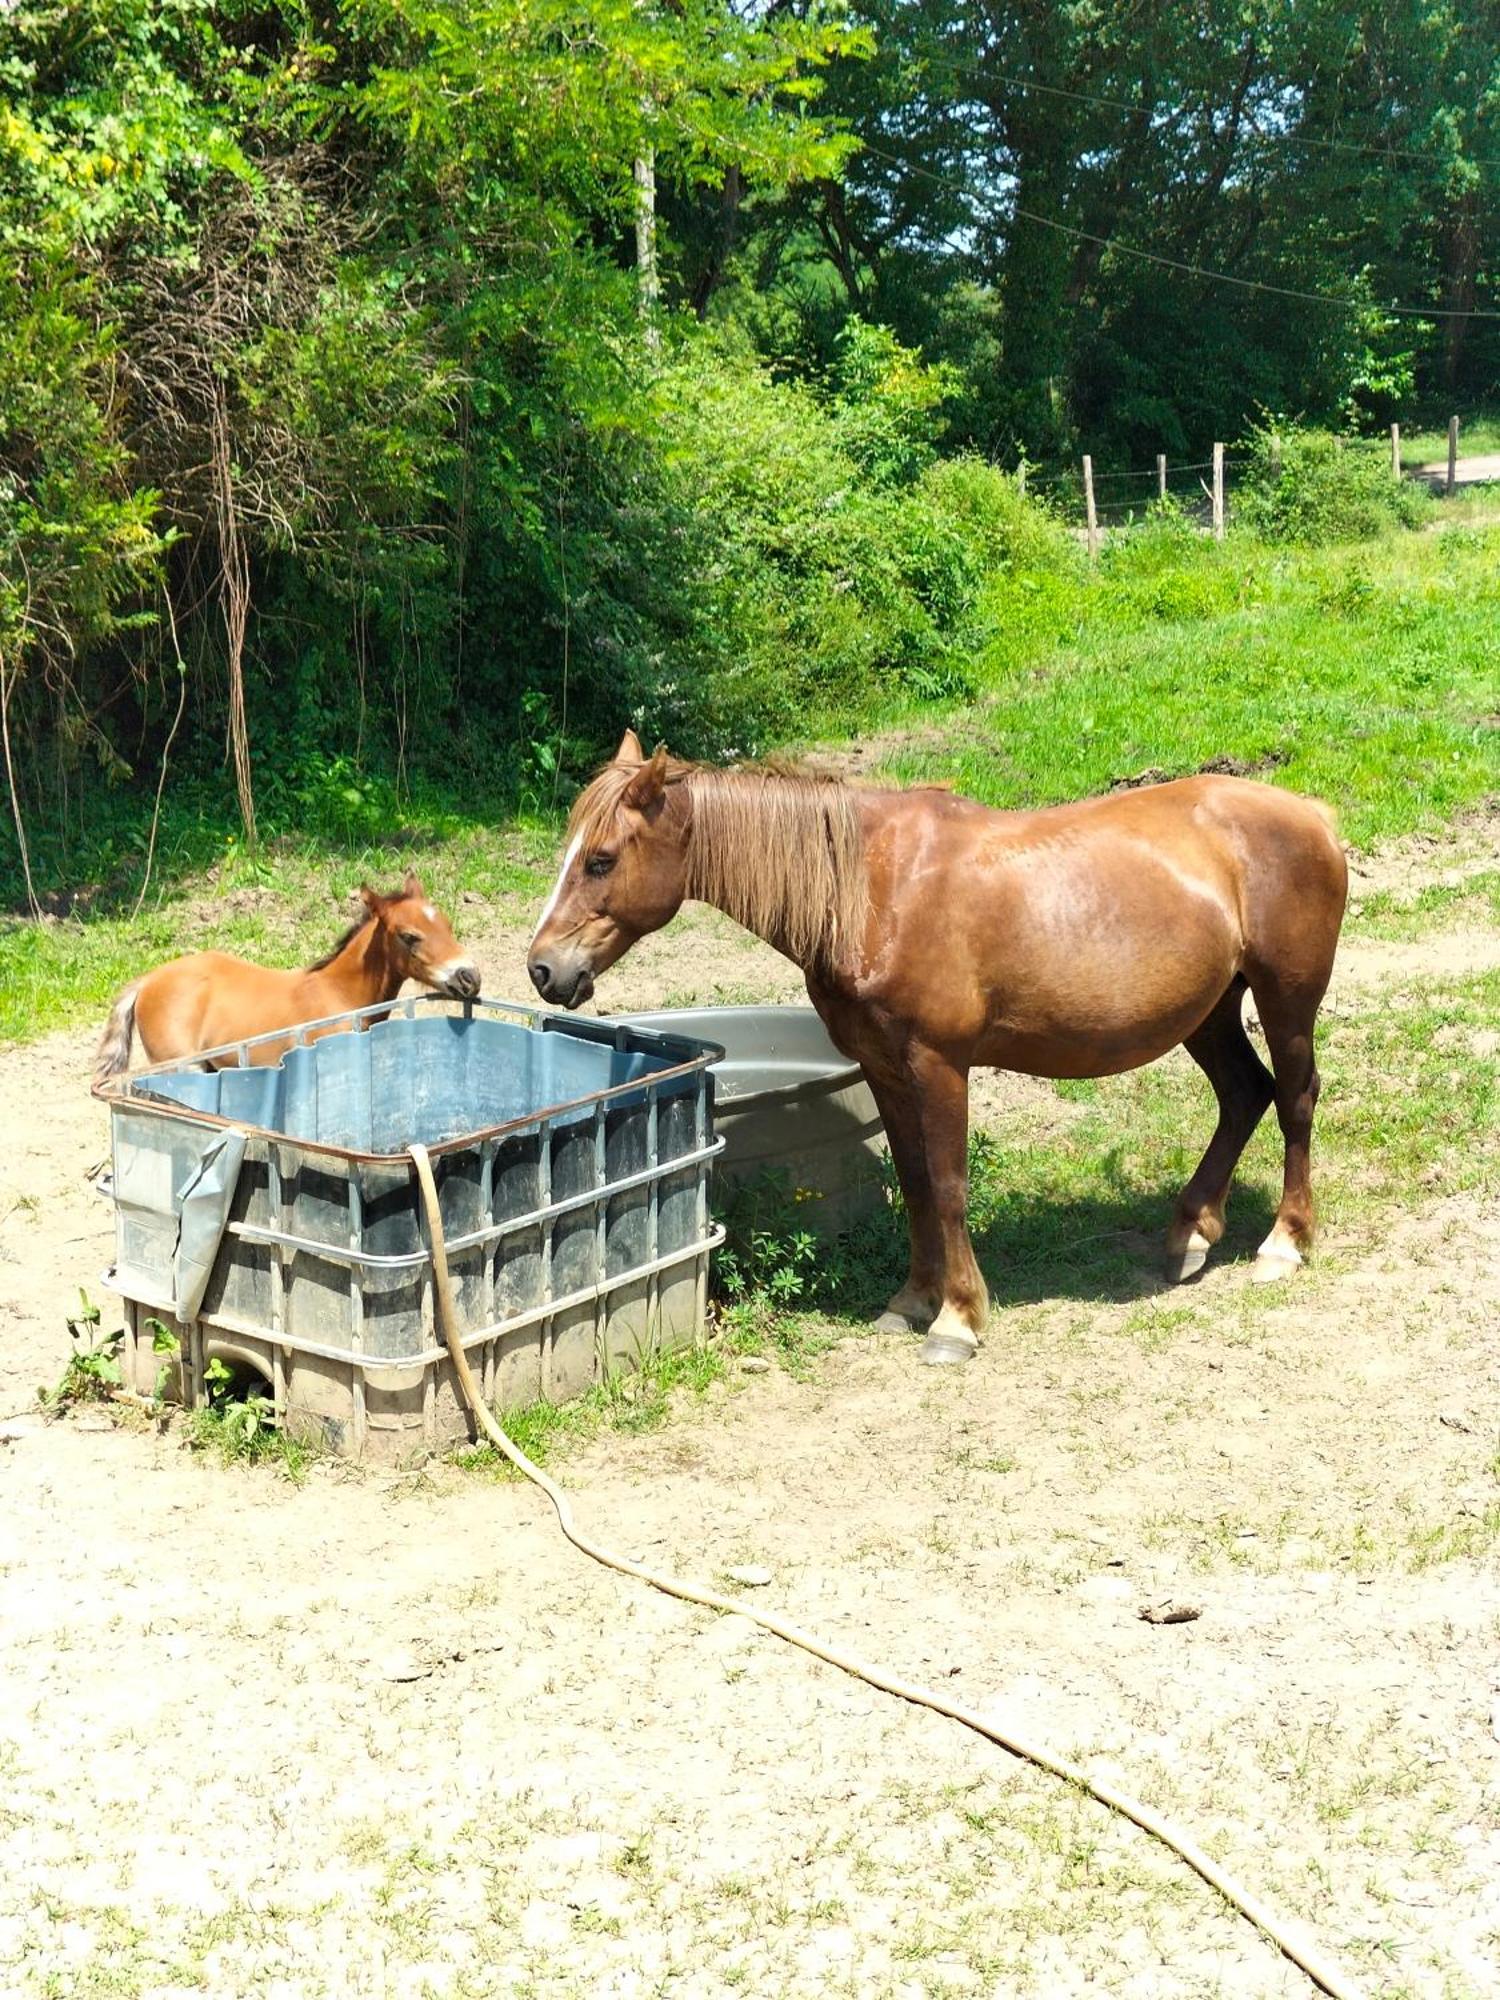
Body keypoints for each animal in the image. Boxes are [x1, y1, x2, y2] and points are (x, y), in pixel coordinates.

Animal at [92, 876, 482, 1088]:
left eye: (446, 924)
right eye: (409, 936)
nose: (470, 976)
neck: (339, 996)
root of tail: (148, 980)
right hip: (181, 1066)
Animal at [524, 728, 1352, 1368]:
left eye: (601, 859)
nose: (543, 969)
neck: (874, 888)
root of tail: (1308, 813)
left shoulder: (938, 1065)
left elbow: (949, 1185)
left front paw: (958, 1318)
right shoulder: (884, 1068)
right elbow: (916, 1182)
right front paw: (912, 1299)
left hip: (1285, 999)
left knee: (1294, 1100)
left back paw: (1284, 1243)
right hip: (1208, 1012)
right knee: (1243, 1095)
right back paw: (1191, 1232)